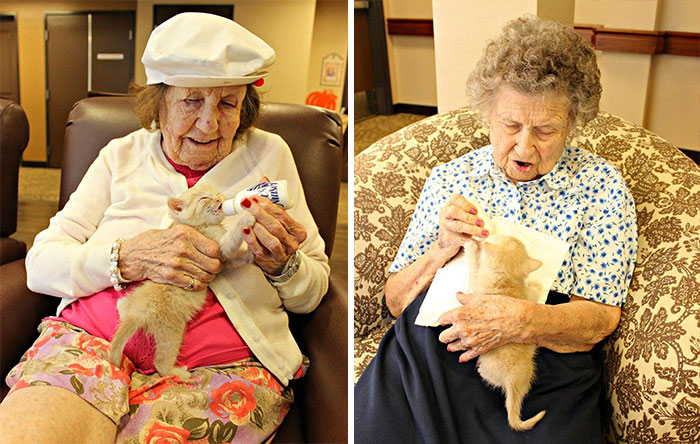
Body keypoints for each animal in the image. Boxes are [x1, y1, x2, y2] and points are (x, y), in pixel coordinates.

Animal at [107, 185, 255, 379]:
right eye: (204, 198)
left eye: (216, 193)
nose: (219, 199)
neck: (201, 226)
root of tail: (137, 312)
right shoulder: (219, 248)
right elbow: (231, 240)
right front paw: (245, 217)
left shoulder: (225, 261)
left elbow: (237, 258)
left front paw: (251, 254)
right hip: (172, 331)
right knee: (161, 363)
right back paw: (179, 373)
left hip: (131, 304)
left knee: (121, 305)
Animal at [464, 235, 546, 431]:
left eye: (494, 237)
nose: (486, 235)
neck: (505, 280)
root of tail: (512, 381)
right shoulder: (528, 300)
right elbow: (533, 293)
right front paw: (536, 284)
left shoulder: (473, 290)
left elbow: (473, 267)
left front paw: (471, 248)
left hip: (489, 369)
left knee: (490, 379)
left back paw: (481, 372)